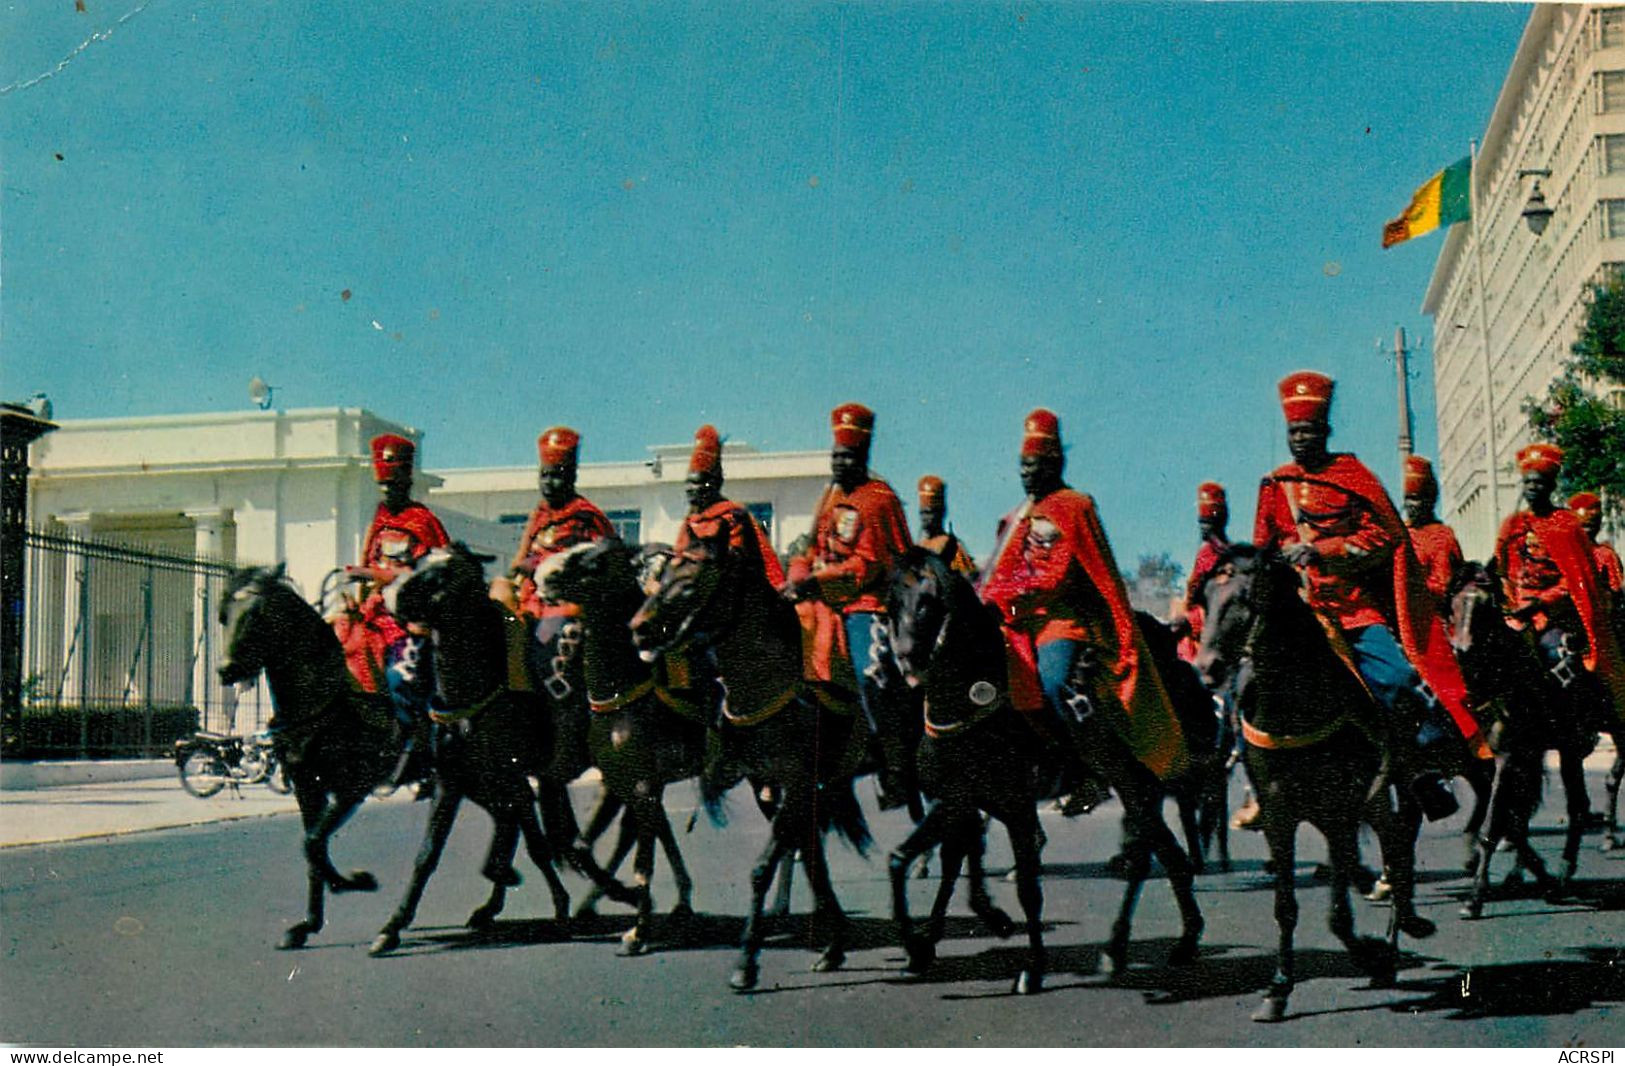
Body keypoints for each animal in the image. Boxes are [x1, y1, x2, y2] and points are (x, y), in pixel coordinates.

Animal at [217, 565, 398, 949]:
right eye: (223, 615)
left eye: (257, 614)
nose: (226, 670)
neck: (324, 700)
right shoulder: (307, 788)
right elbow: (313, 847)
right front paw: (307, 924)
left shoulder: (353, 787)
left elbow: (313, 842)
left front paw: (357, 880)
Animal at [627, 536, 871, 994]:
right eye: (661, 576)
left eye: (690, 584)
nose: (638, 628)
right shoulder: (769, 784)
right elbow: (811, 857)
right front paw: (833, 946)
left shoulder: (797, 781)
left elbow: (763, 867)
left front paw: (746, 962)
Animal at [890, 549, 1040, 988]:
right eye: (893, 604)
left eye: (928, 604)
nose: (906, 657)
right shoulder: (957, 799)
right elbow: (912, 859)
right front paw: (918, 947)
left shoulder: (1010, 801)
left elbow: (1027, 888)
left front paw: (1034, 969)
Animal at [1196, 546, 1436, 1020]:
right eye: (1207, 598)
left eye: (1247, 597)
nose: (1208, 668)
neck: (1294, 703)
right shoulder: (1278, 815)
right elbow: (1286, 906)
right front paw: (1278, 989)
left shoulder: (1341, 808)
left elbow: (1337, 914)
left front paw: (1372, 955)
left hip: (1378, 795)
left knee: (1397, 843)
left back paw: (1403, 926)